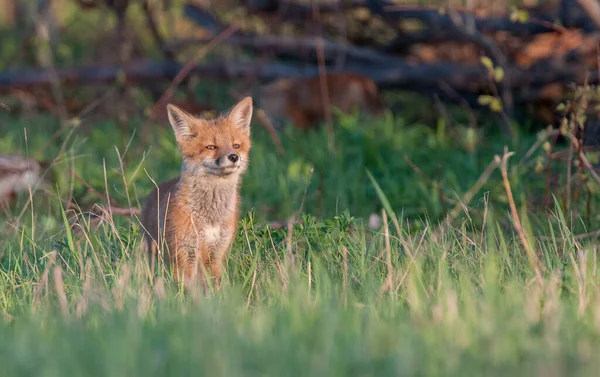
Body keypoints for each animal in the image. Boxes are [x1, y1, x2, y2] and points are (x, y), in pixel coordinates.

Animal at [141, 95, 253, 290]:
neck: (210, 216)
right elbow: (187, 289)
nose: (233, 157)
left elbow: (213, 287)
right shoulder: (185, 251)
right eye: (211, 147)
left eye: (236, 145)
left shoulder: (215, 253)